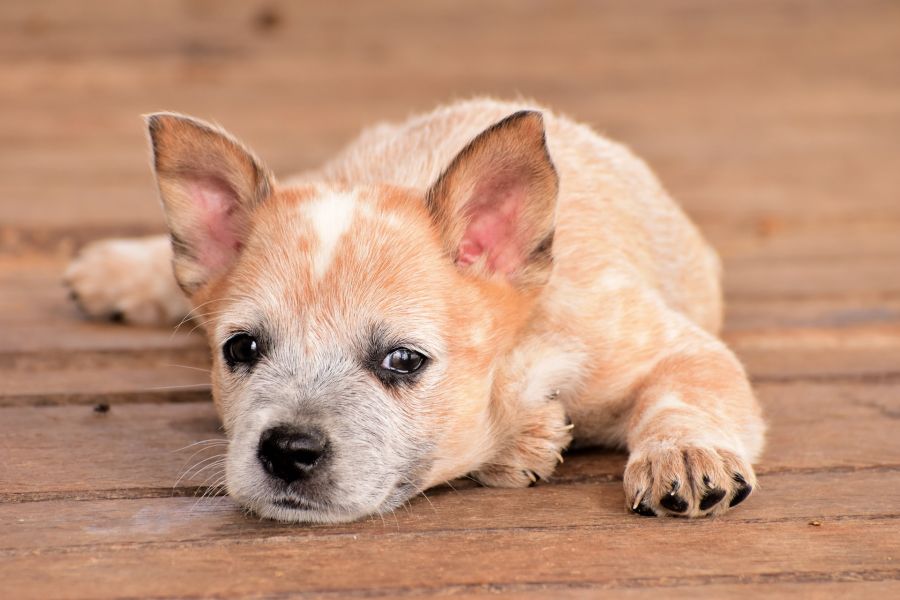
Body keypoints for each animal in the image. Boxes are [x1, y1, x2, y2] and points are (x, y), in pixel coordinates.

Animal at [65, 97, 768, 520]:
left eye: (403, 360)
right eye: (241, 348)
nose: (287, 449)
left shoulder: (666, 346)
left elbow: (683, 397)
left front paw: (684, 455)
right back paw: (115, 270)